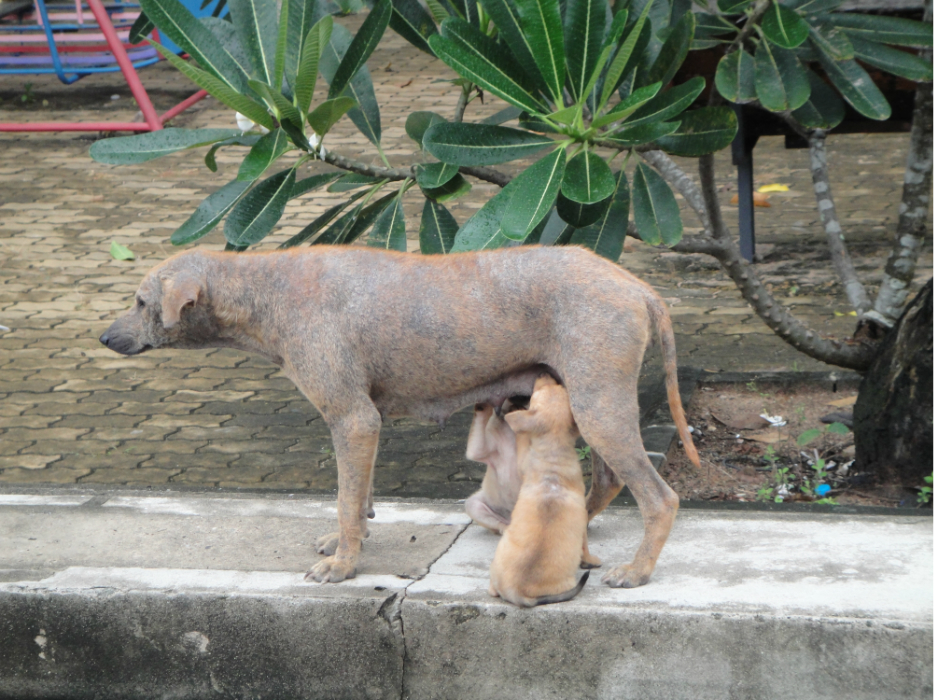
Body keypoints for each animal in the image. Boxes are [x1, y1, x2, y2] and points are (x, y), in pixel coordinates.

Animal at [102, 245, 704, 584]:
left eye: (139, 302)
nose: (104, 338)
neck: (266, 291)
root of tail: (636, 285)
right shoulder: (365, 422)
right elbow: (358, 498)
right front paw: (349, 543)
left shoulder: (352, 419)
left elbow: (347, 501)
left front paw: (344, 566)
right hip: (592, 405)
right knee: (605, 481)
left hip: (600, 405)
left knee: (659, 498)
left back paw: (638, 571)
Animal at [490, 374, 600, 608]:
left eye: (556, 385)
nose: (544, 374)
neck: (553, 452)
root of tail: (518, 592)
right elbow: (585, 545)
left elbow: (523, 436)